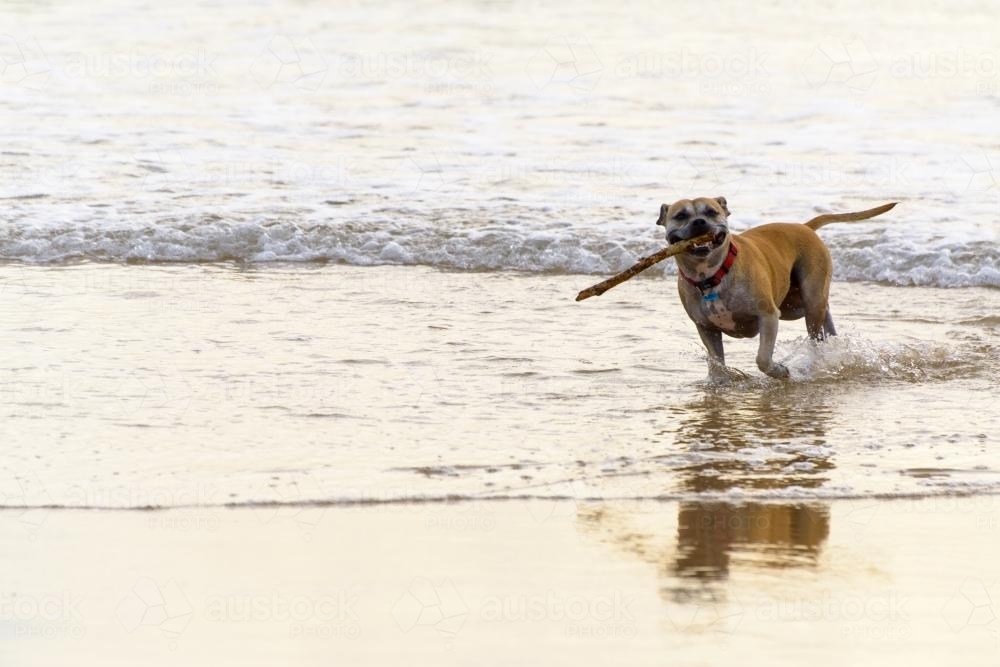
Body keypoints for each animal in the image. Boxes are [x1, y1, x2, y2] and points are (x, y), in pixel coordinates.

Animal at [656, 198, 900, 380]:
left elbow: (762, 358)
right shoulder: (706, 327)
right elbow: (716, 362)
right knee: (825, 319)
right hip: (793, 305)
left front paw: (779, 371)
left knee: (816, 334)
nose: (699, 222)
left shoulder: (768, 315)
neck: (714, 275)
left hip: (810, 300)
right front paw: (720, 382)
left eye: (711, 212)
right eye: (680, 216)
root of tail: (804, 226)